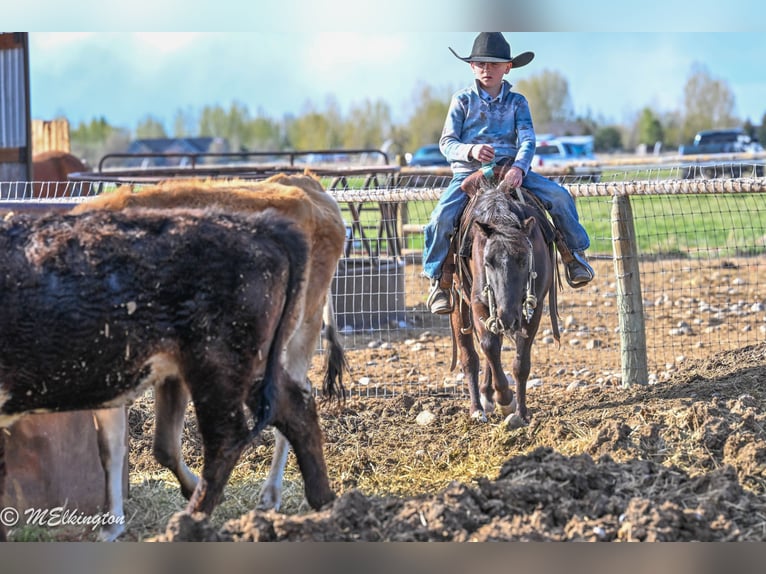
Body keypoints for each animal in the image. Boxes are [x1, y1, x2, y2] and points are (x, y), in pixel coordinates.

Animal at [448, 177, 560, 423]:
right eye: (487, 262)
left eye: (524, 259)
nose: (508, 317)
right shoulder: (479, 303)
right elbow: (488, 347)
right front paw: (505, 400)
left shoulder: (534, 307)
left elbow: (521, 363)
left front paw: (521, 412)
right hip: (459, 302)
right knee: (470, 356)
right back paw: (477, 408)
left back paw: (487, 395)